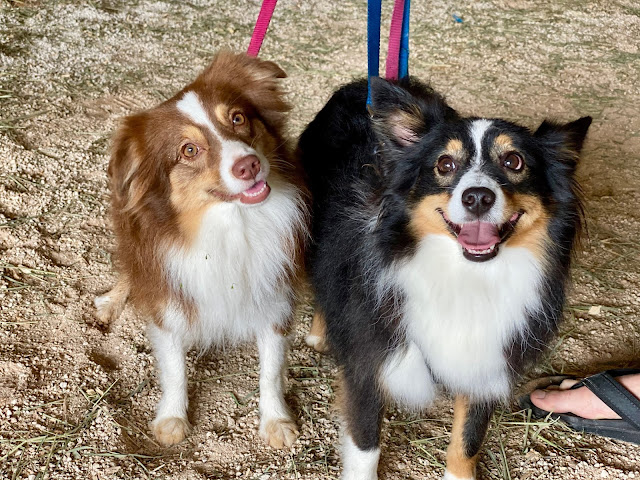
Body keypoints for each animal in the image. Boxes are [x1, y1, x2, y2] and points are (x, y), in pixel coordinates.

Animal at [93, 50, 310, 448]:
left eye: (238, 118)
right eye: (189, 150)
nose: (248, 165)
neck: (232, 226)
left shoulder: (274, 296)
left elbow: (271, 369)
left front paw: (276, 421)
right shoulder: (168, 295)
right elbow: (174, 365)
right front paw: (172, 419)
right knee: (129, 271)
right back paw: (110, 303)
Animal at [298, 79, 592, 480]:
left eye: (514, 161)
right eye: (444, 164)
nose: (478, 197)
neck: (465, 277)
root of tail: (359, 84)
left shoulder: (485, 362)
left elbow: (468, 439)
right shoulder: (368, 361)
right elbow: (365, 445)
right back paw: (320, 333)